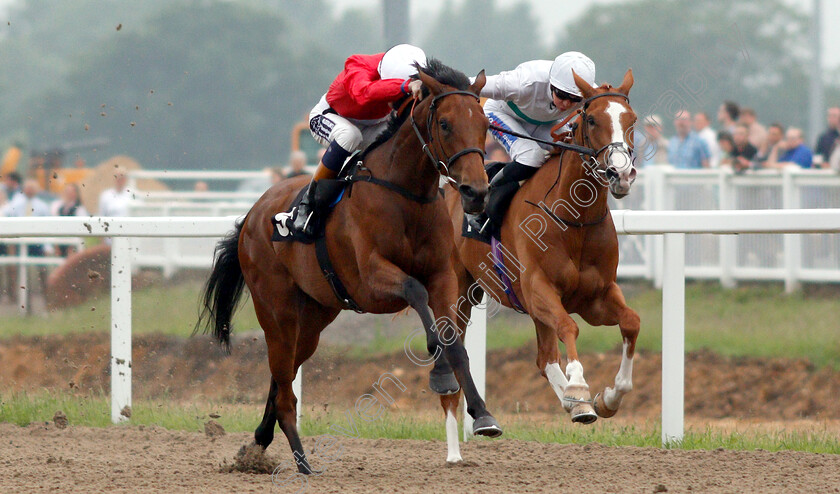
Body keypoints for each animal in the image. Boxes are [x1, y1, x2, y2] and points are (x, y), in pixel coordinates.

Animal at [198, 60, 502, 474]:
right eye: (445, 124)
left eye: (485, 125)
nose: (476, 192)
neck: (406, 194)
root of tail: (252, 214)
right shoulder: (371, 279)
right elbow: (415, 291)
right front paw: (439, 373)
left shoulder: (444, 276)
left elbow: (453, 340)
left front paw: (482, 413)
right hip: (276, 311)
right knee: (283, 385)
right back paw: (302, 463)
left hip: (314, 316)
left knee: (282, 377)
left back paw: (259, 444)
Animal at [436, 69, 640, 464]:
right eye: (592, 119)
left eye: (632, 121)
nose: (621, 174)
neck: (573, 219)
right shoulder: (539, 288)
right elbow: (570, 329)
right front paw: (580, 387)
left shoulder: (597, 297)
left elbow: (631, 322)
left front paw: (606, 398)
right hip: (458, 291)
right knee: (456, 352)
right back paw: (454, 449)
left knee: (544, 358)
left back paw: (574, 404)